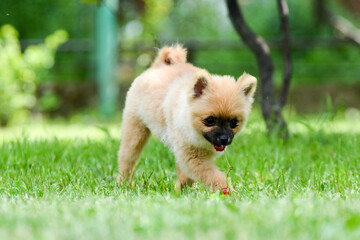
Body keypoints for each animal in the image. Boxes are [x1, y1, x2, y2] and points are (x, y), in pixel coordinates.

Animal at [118, 44, 256, 192]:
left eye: (234, 122)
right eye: (210, 121)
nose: (224, 139)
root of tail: (159, 65)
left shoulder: (187, 155)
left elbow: (187, 176)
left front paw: (180, 189)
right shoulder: (192, 157)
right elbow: (214, 176)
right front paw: (228, 192)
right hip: (136, 131)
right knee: (127, 158)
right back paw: (122, 182)